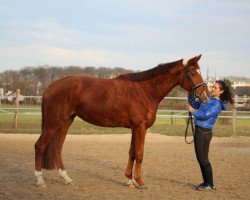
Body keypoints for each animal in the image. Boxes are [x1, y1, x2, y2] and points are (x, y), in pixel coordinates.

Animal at [34, 54, 208, 188]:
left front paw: (130, 181)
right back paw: (40, 180)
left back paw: (66, 178)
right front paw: (140, 182)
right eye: (192, 73)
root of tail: (49, 87)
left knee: (57, 148)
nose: (205, 96)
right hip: (53, 124)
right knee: (39, 146)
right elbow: (139, 154)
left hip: (65, 122)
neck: (145, 90)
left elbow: (132, 152)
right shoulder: (140, 128)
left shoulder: (135, 128)